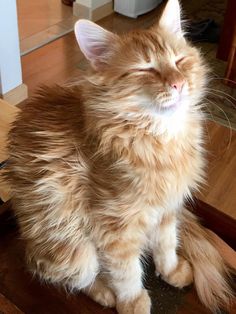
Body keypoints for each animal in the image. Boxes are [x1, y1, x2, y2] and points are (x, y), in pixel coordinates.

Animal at [5, 0, 232, 312]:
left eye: (179, 61)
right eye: (146, 69)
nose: (178, 84)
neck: (160, 139)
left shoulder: (166, 211)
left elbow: (166, 245)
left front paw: (171, 270)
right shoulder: (115, 229)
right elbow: (126, 272)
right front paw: (132, 302)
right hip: (74, 250)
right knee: (73, 277)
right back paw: (104, 293)